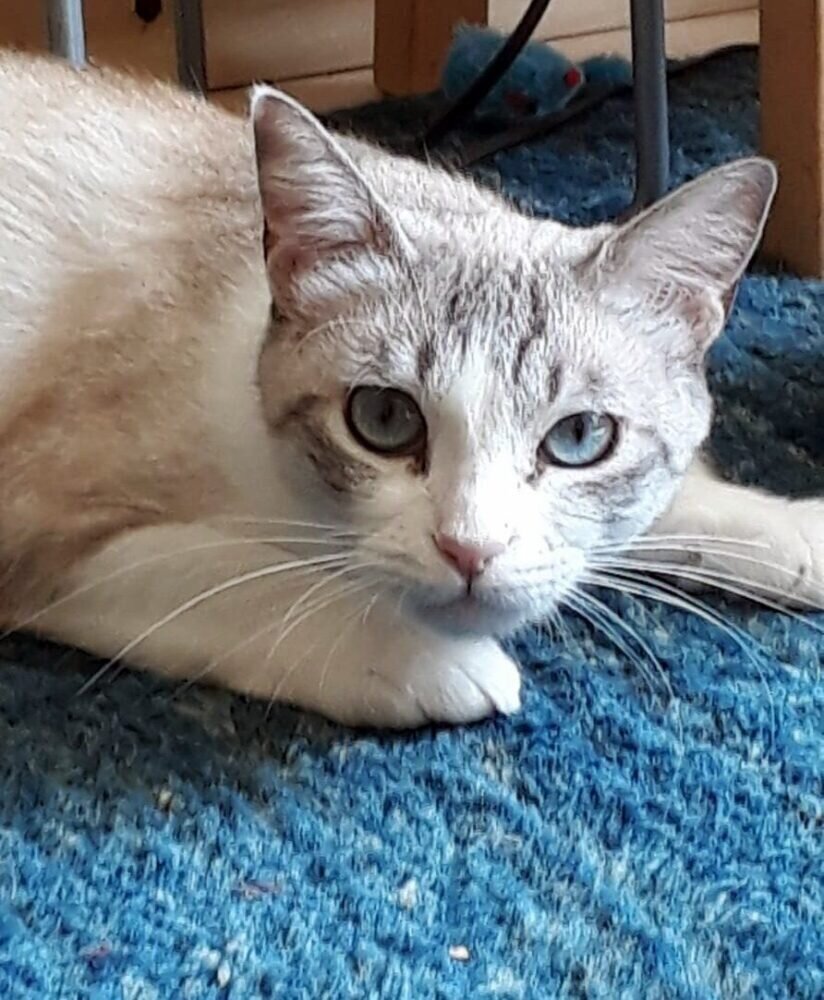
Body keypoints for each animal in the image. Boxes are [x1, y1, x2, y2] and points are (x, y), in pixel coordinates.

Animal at [0, 51, 820, 728]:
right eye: (386, 418)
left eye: (580, 437)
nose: (470, 550)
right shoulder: (42, 521)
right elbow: (241, 577)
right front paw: (426, 658)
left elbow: (677, 505)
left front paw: (797, 532)